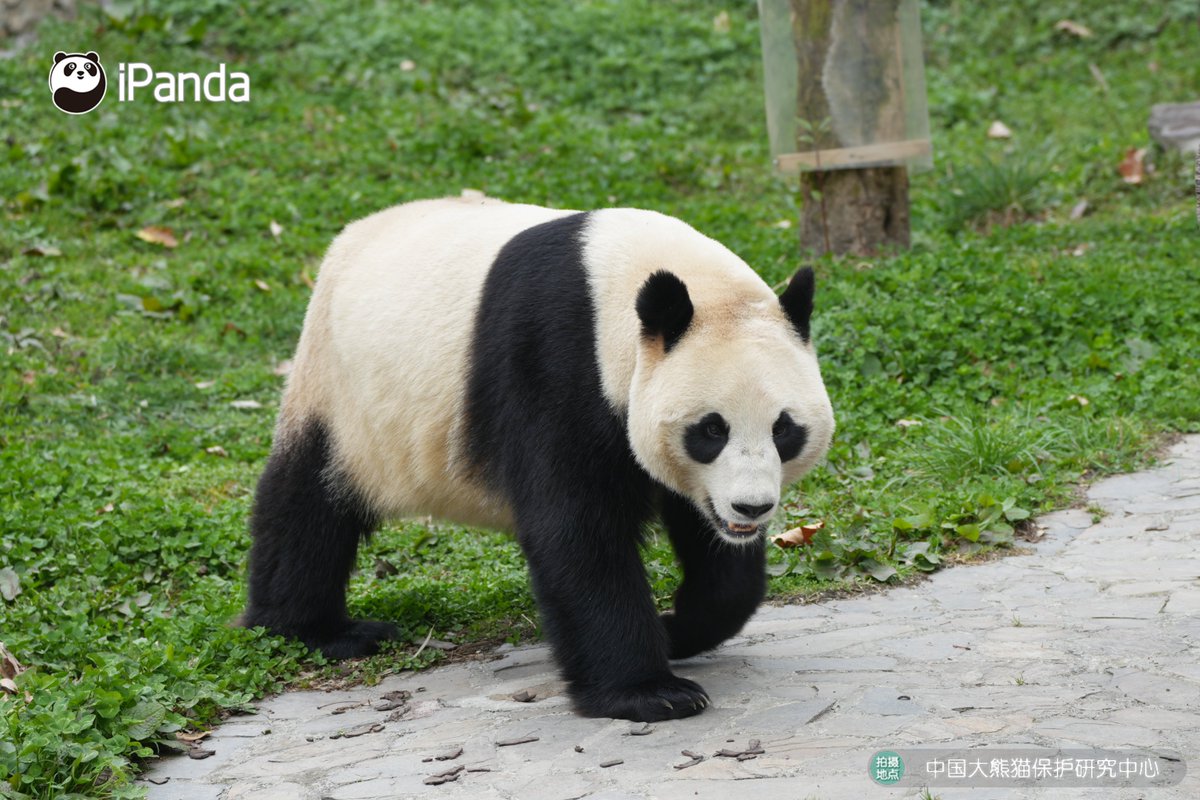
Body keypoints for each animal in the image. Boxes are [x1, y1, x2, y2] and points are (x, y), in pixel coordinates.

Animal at [241, 198, 835, 722]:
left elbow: (708, 543)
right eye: (711, 430)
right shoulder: (556, 361)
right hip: (341, 393)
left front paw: (677, 628)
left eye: (784, 430)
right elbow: (576, 530)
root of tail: (349, 238)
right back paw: (318, 630)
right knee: (308, 505)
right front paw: (651, 694)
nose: (751, 508)